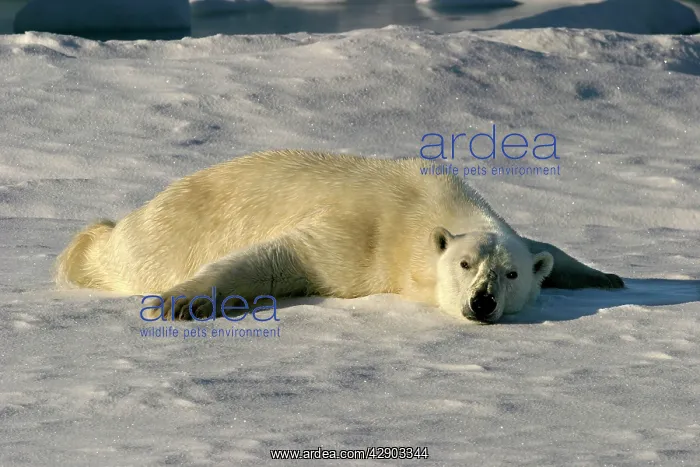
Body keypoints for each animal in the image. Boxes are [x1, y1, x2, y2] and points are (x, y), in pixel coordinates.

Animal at [54, 149, 624, 324]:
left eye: (509, 273)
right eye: (464, 264)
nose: (482, 302)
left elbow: (548, 248)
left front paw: (607, 277)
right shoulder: (361, 235)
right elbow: (279, 259)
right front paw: (179, 303)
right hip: (155, 238)